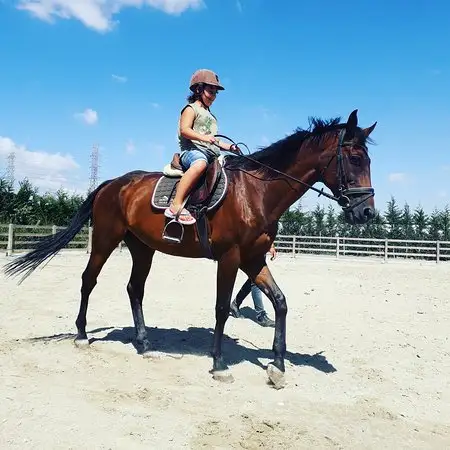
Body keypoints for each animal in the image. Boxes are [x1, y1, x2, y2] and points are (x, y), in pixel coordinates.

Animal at [3, 110, 376, 390]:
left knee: (134, 288)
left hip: (143, 249)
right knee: (88, 280)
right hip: (106, 240)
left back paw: (145, 345)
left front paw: (278, 366)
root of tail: (111, 184)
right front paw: (219, 364)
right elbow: (222, 308)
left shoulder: (254, 258)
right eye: (355, 158)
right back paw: (81, 335)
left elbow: (281, 302)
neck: (255, 193)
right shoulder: (230, 258)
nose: (367, 213)